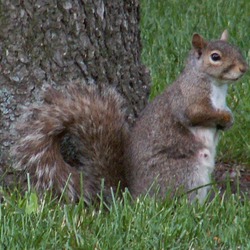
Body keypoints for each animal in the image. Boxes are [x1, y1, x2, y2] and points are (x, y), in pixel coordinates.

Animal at [10, 31, 247, 203]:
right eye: (215, 57)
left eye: (237, 49)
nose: (244, 68)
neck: (217, 87)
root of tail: (134, 198)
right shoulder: (189, 98)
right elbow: (195, 114)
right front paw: (224, 117)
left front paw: (228, 121)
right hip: (186, 171)